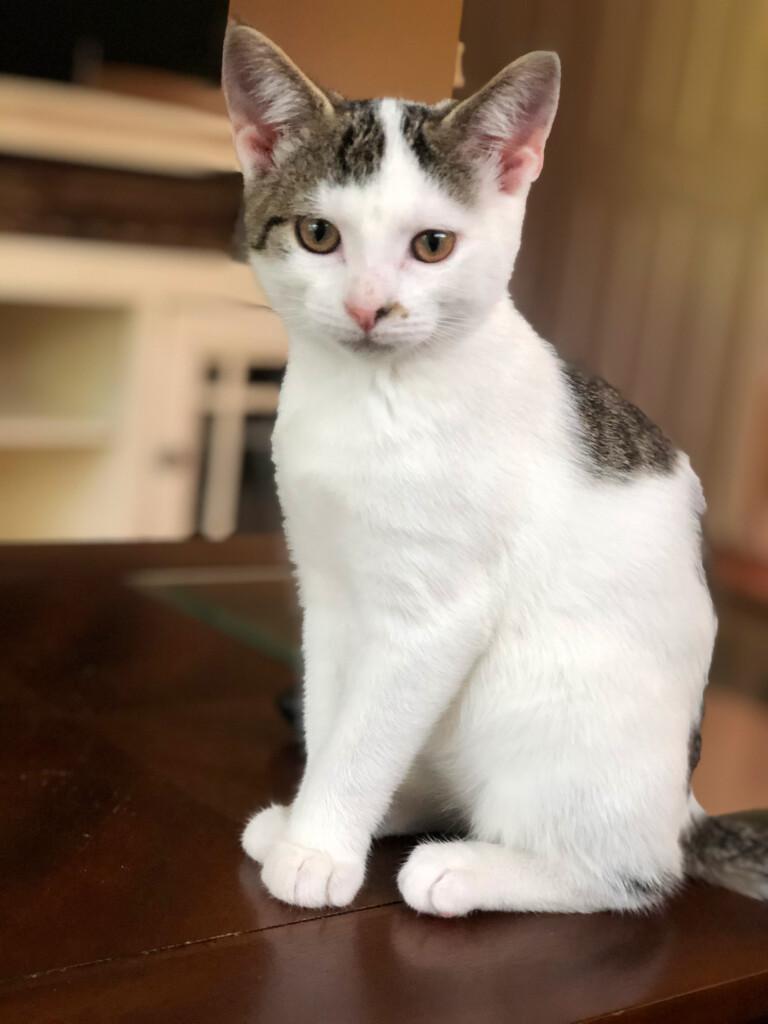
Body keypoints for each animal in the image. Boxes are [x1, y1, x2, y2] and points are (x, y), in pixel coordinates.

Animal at [219, 24, 765, 917]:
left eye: (432, 246)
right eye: (319, 236)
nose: (370, 306)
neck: (372, 396)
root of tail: (684, 808)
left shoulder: (434, 616)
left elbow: (367, 734)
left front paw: (319, 847)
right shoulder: (328, 590)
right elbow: (336, 718)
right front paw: (314, 822)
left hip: (545, 711)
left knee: (631, 875)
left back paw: (468, 868)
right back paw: (399, 809)